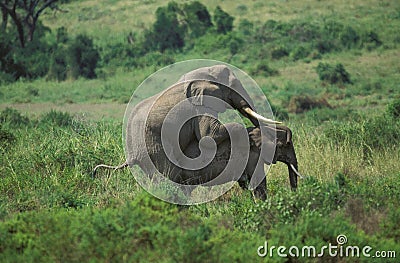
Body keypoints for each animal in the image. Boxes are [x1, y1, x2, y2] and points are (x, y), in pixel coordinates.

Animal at [92, 65, 302, 201]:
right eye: (286, 145)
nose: (294, 195)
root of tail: (130, 156)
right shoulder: (198, 106)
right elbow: (211, 135)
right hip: (153, 148)